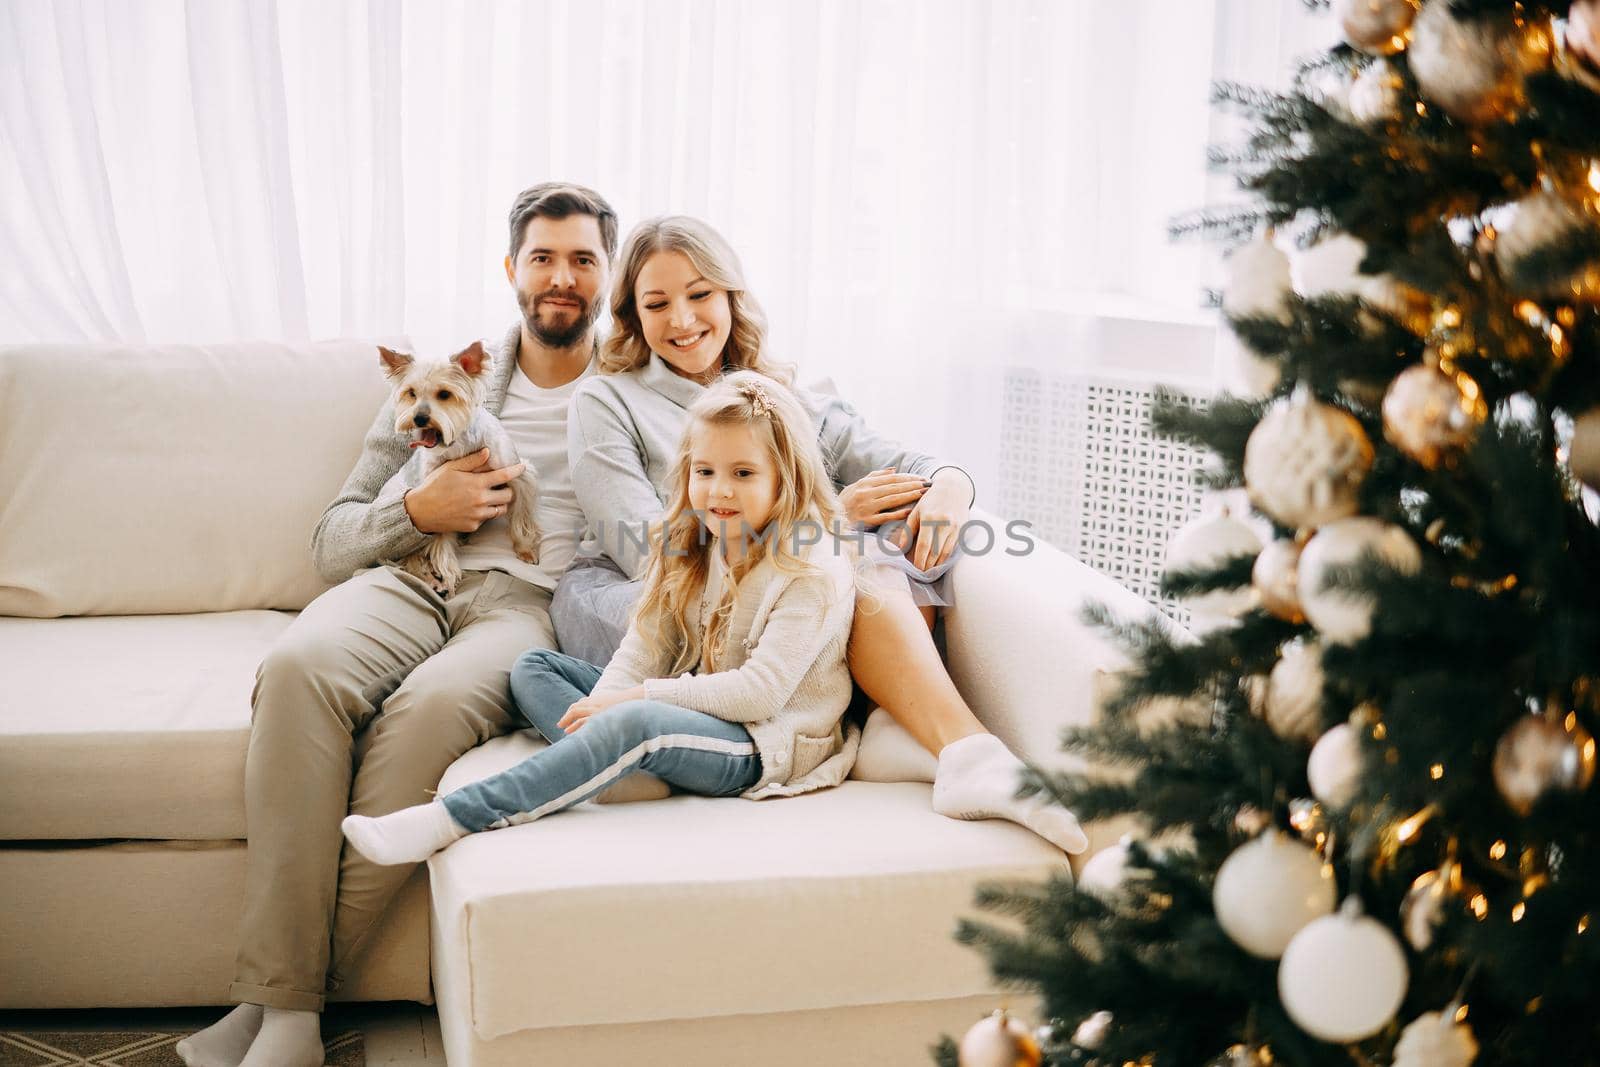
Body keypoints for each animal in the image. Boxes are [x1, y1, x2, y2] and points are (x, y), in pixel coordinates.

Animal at [380, 342, 544, 598]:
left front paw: (525, 549)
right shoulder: (438, 503)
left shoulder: (517, 474)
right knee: (412, 557)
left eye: (444, 394)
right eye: (411, 393)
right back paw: (432, 580)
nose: (419, 418)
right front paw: (447, 578)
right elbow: (441, 543)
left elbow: (520, 516)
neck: (458, 445)